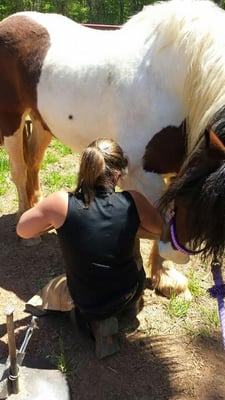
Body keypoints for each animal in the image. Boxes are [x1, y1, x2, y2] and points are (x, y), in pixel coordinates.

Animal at [0, 0, 225, 300]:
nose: (176, 251)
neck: (182, 80)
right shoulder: (141, 174)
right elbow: (158, 217)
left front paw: (164, 277)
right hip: (10, 119)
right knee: (19, 169)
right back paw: (29, 232)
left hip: (41, 121)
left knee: (33, 163)